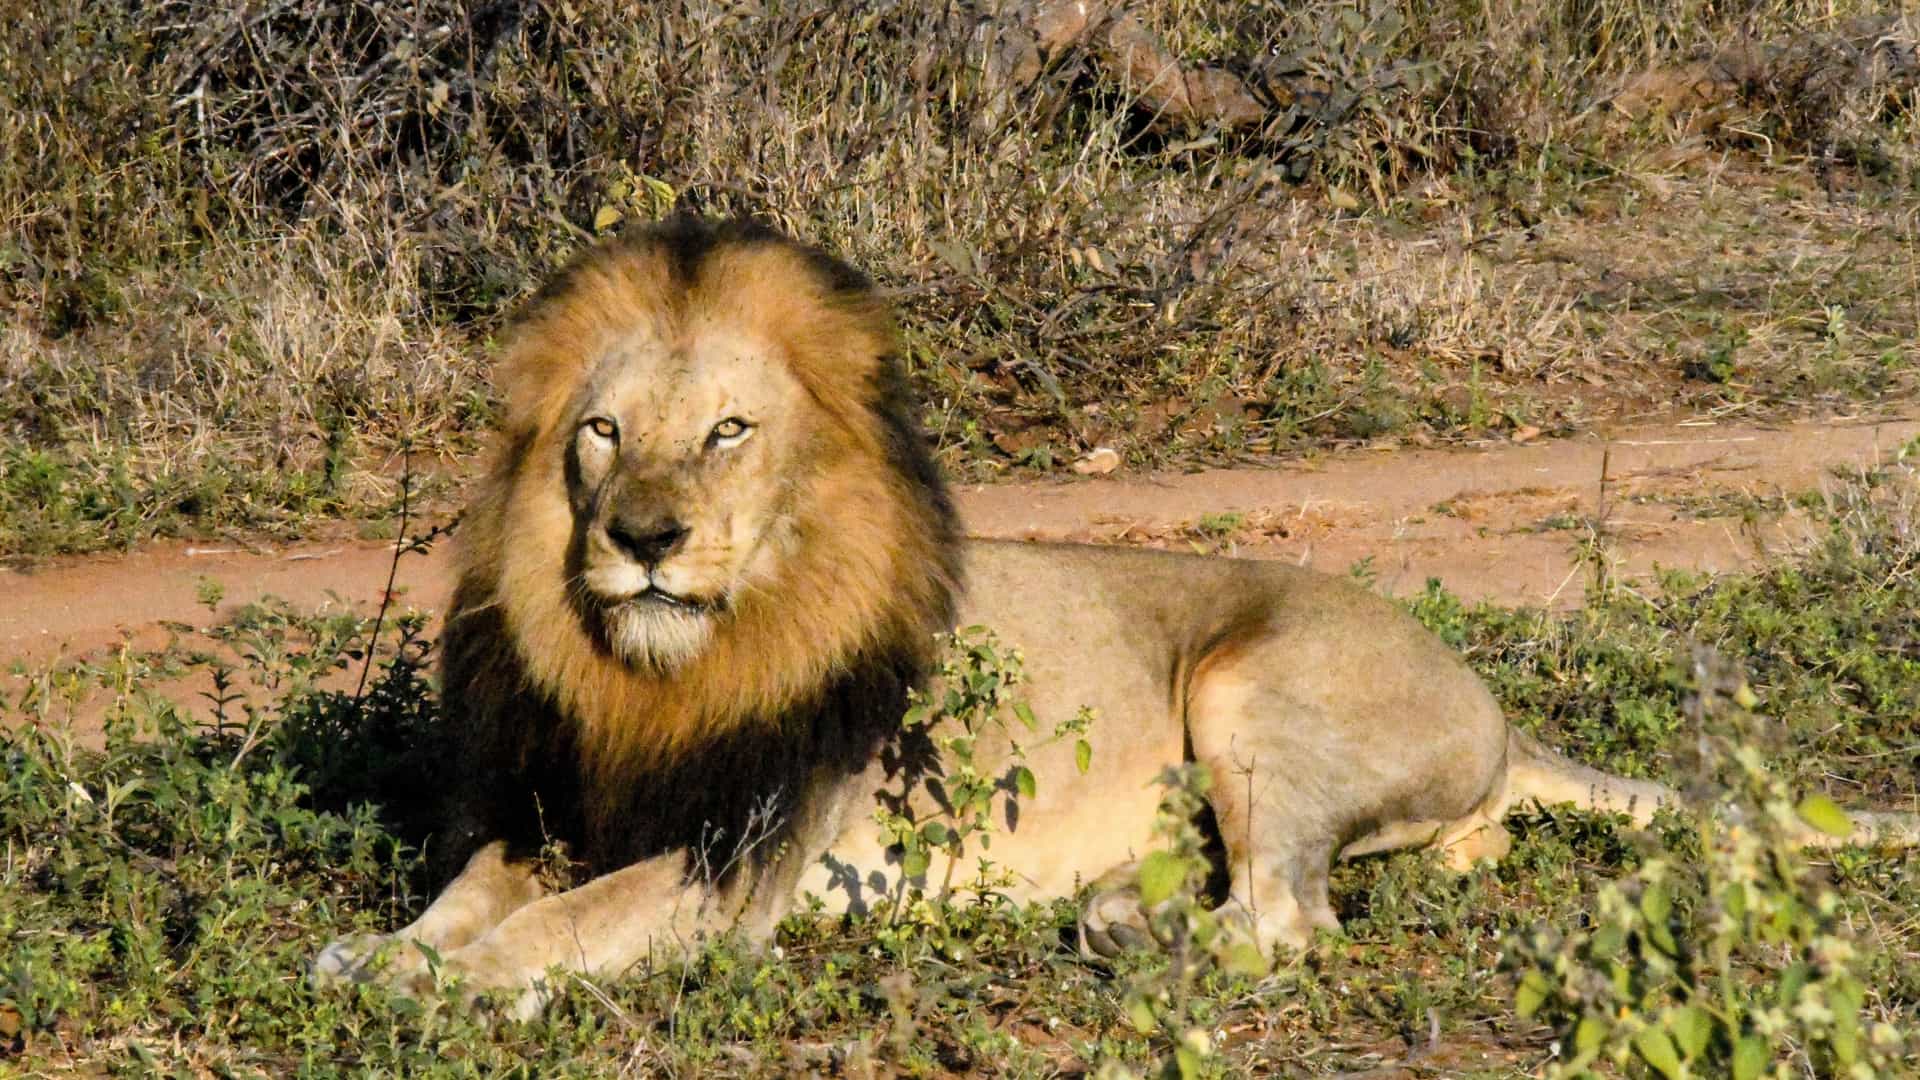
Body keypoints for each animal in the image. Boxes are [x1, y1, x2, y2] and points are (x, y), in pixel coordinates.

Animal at [314, 217, 1917, 1019]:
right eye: (599, 434)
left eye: (725, 432)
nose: (641, 540)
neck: (657, 669)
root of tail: (1503, 717)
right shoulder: (553, 803)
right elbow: (480, 892)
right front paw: (380, 956)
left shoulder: (739, 860)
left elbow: (569, 921)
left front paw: (454, 994)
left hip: (1253, 688)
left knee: (1287, 918)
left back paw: (1133, 932)